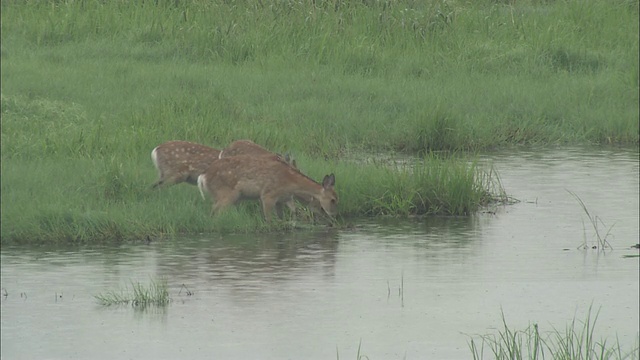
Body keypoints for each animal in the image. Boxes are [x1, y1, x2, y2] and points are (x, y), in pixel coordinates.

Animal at [196, 155, 338, 222]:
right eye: (333, 199)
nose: (333, 215)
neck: (291, 182)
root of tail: (203, 176)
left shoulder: (282, 199)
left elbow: (283, 217)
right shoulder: (268, 195)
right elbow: (269, 220)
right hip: (226, 194)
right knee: (214, 212)